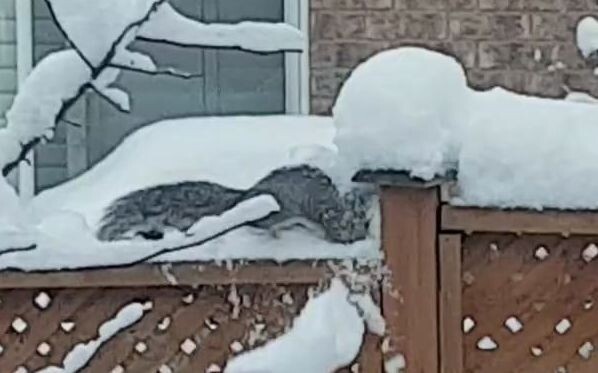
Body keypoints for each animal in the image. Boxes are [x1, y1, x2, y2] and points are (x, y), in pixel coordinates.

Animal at [96, 166, 372, 244]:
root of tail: (244, 197)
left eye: (364, 224)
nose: (354, 239)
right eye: (342, 229)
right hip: (279, 211)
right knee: (263, 223)